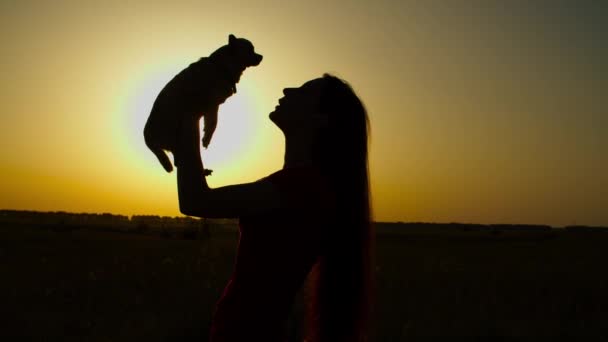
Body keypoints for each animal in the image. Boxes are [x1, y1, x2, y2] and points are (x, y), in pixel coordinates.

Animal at [146, 34, 264, 172]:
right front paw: (206, 139)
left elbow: (211, 122)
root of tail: (147, 137)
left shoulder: (213, 106)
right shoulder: (212, 104)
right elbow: (213, 123)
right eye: (250, 50)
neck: (221, 67)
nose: (261, 56)